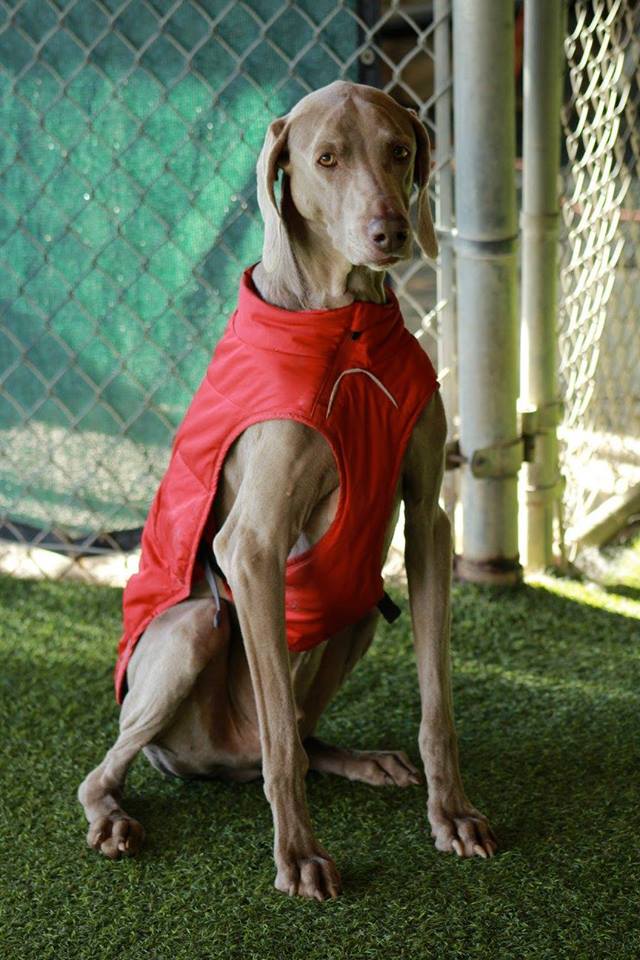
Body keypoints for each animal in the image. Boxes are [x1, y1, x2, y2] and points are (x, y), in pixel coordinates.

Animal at [76, 80, 496, 900]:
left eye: (400, 149)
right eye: (326, 159)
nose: (390, 233)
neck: (348, 323)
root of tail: (218, 762)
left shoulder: (428, 522)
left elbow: (437, 704)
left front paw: (453, 815)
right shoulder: (253, 546)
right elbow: (278, 744)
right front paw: (299, 856)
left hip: (359, 600)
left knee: (302, 728)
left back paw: (360, 759)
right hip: (189, 634)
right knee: (127, 765)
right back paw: (113, 817)